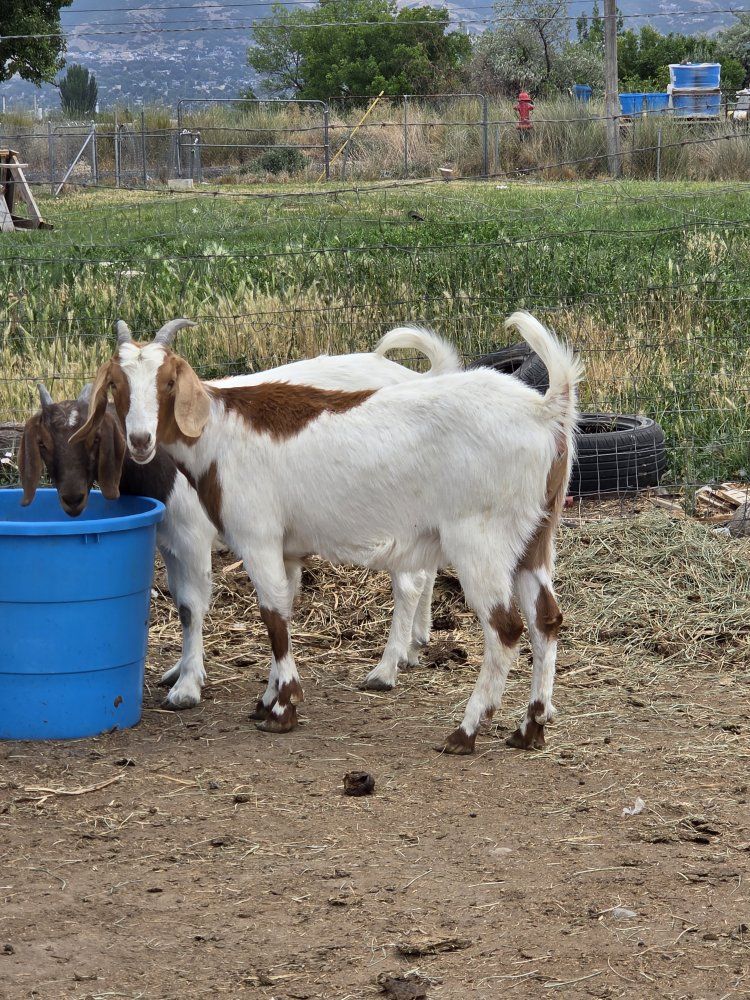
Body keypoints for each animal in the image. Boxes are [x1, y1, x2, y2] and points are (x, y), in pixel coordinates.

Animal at [21, 324, 460, 711]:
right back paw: (414, 646)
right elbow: (185, 596)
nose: (72, 498)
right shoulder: (168, 540)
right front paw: (181, 669)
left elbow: (190, 606)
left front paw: (188, 685)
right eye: (43, 444)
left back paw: (386, 669)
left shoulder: (192, 535)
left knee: (409, 582)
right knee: (426, 570)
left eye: (94, 438)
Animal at [75, 311, 581, 753]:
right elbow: (285, 608)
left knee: (506, 628)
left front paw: (282, 709)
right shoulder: (287, 549)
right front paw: (268, 699)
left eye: (168, 382)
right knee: (546, 620)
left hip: (481, 540)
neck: (222, 431)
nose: (140, 440)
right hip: (535, 537)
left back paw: (465, 730)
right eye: (116, 384)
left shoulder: (256, 537)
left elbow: (270, 615)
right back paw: (529, 729)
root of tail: (544, 408)